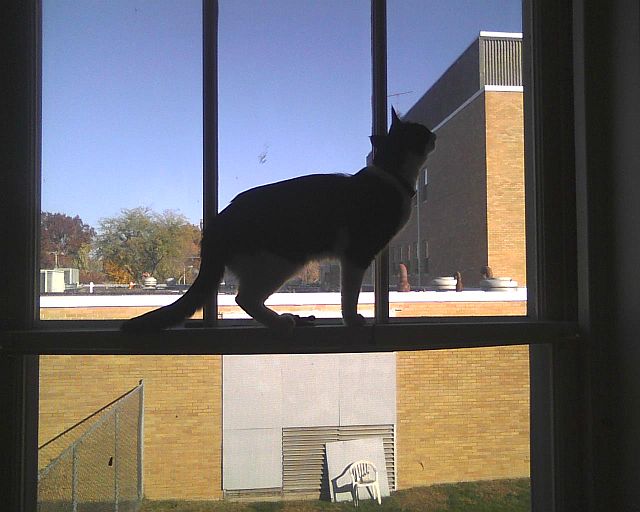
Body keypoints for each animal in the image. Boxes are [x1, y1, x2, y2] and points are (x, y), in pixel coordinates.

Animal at [121, 108, 436, 332]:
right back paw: (281, 322)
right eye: (421, 130)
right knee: (243, 298)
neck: (391, 175)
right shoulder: (356, 254)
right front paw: (353, 320)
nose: (433, 133)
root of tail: (216, 228)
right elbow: (349, 295)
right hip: (283, 260)